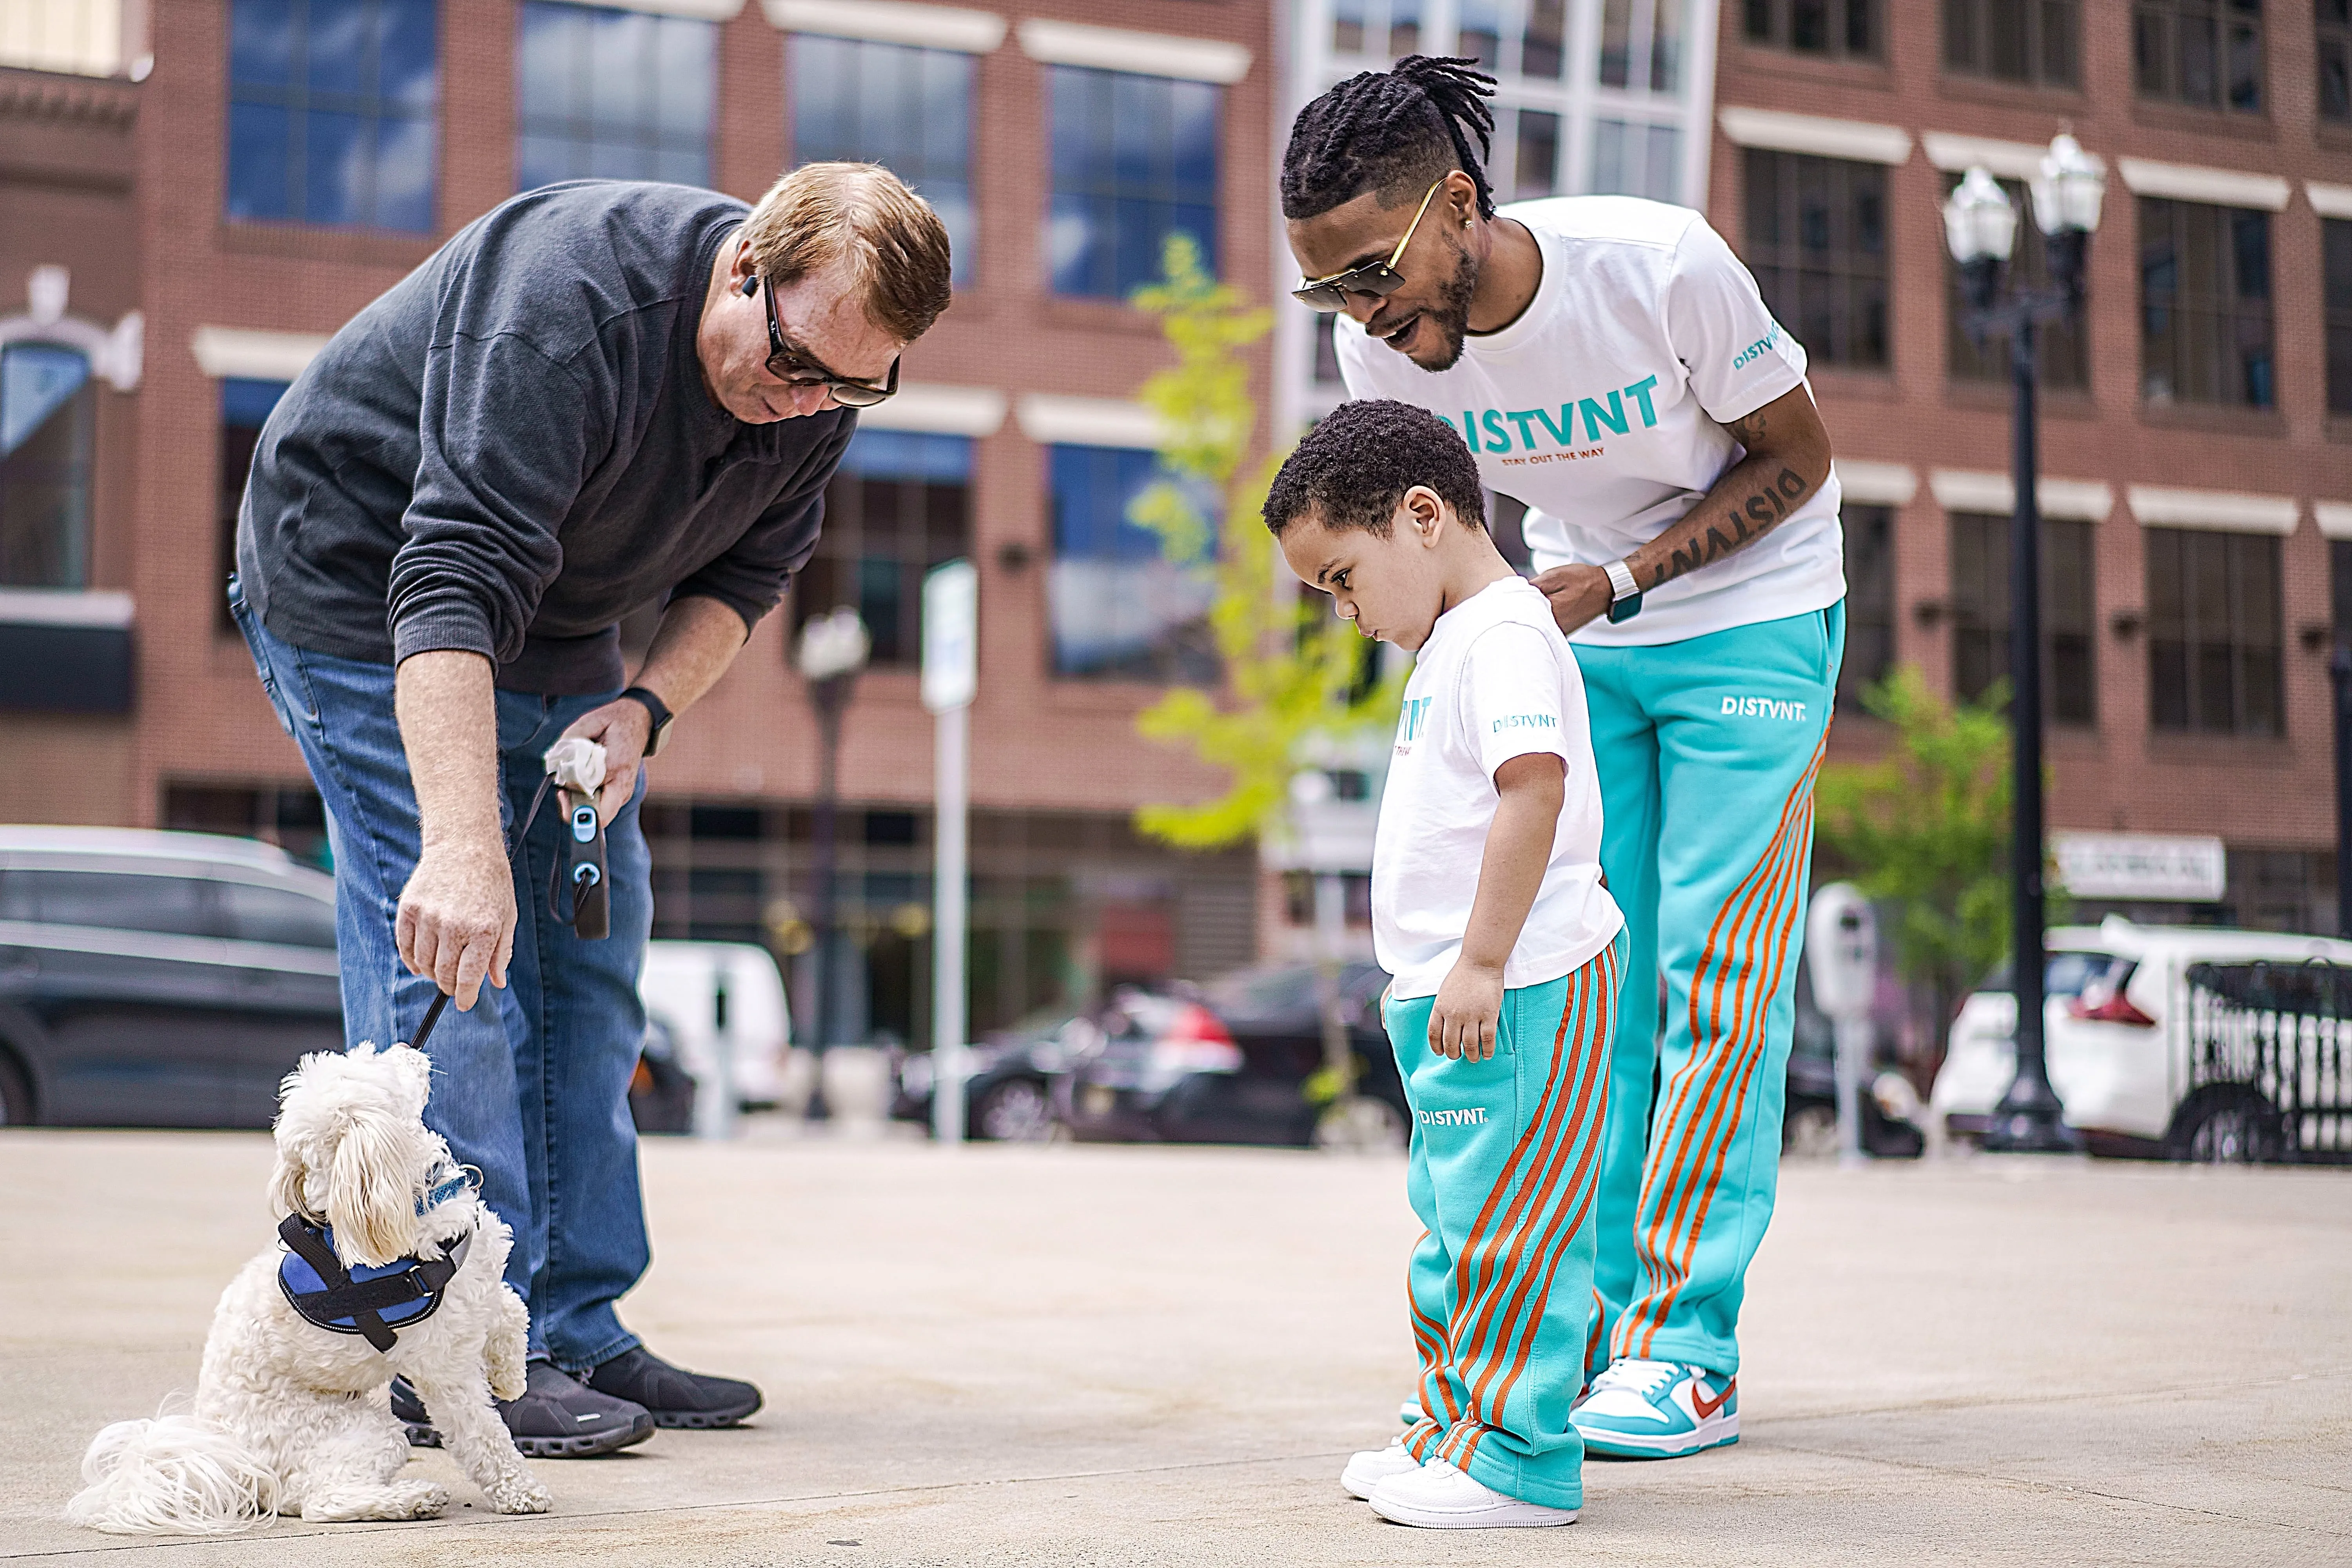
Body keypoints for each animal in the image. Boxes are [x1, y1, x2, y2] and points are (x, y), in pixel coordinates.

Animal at [65, 1044, 550, 1533]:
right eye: (377, 1064)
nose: (406, 1048)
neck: (410, 1198)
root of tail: (237, 1461)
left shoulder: (479, 1285)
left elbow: (512, 1307)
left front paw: (511, 1377)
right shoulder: (445, 1371)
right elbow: (483, 1435)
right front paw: (520, 1491)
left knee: (305, 1493)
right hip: (356, 1429)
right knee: (322, 1500)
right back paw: (410, 1500)